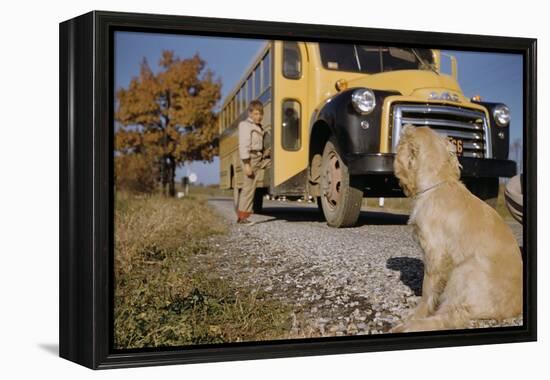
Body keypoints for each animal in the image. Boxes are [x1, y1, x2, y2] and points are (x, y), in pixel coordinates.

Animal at [392, 125, 528, 332]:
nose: (407, 125)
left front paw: (416, 313)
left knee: (452, 317)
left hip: (464, 271)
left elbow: (427, 290)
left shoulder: (435, 254)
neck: (438, 183)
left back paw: (408, 326)